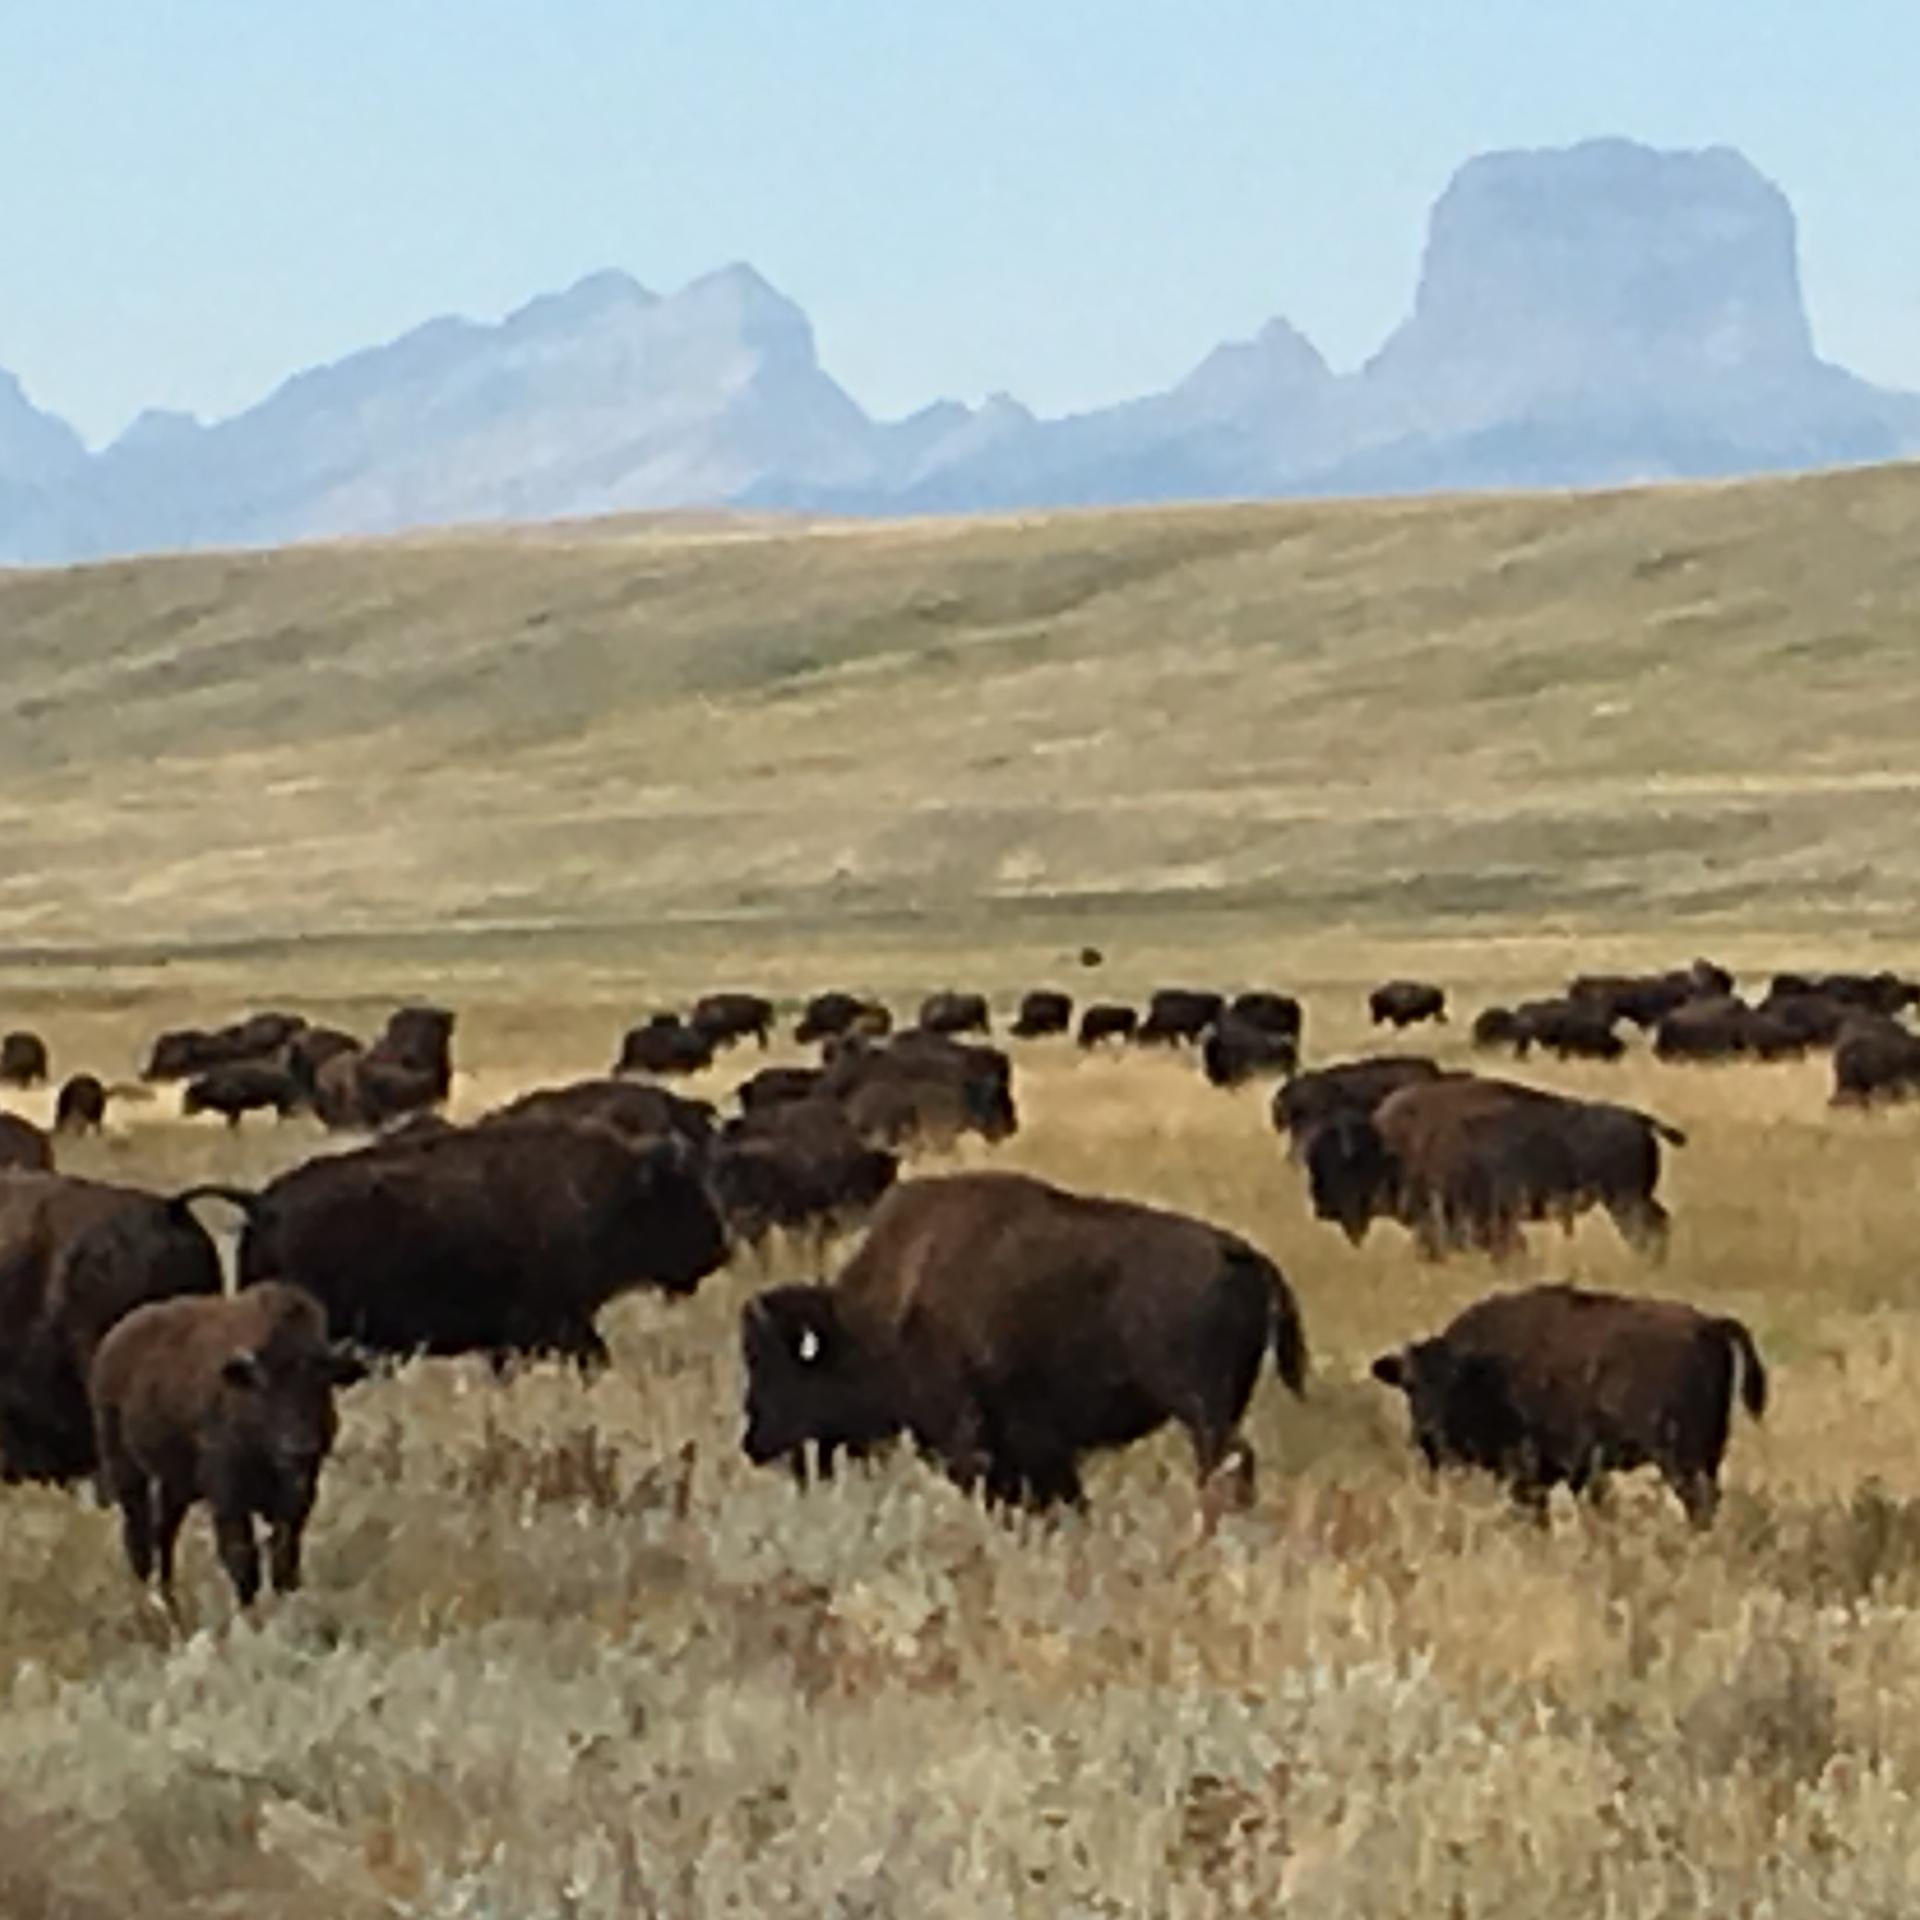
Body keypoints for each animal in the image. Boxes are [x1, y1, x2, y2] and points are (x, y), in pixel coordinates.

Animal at [91, 1282, 367, 1611]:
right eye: (264, 1386)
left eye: (321, 1382)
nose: (298, 1447)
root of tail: (112, 1343)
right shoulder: (228, 1498)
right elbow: (242, 1559)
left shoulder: (299, 1496)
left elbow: (284, 1557)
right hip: (127, 1470)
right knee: (138, 1535)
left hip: (177, 1485)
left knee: (164, 1532)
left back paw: (170, 1601)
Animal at [740, 1170, 1307, 1513]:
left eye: (777, 1368)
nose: (753, 1441)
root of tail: (1243, 1253)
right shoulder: (1037, 1448)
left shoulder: (968, 1436)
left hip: (1200, 1409)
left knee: (1227, 1464)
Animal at [1372, 1283, 1766, 1526]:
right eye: (1408, 1385)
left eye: (1454, 1383)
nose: (1426, 1432)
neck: (1486, 1370)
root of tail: (1710, 1324)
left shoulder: (1527, 1476)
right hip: (1707, 1456)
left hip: (1682, 1459)